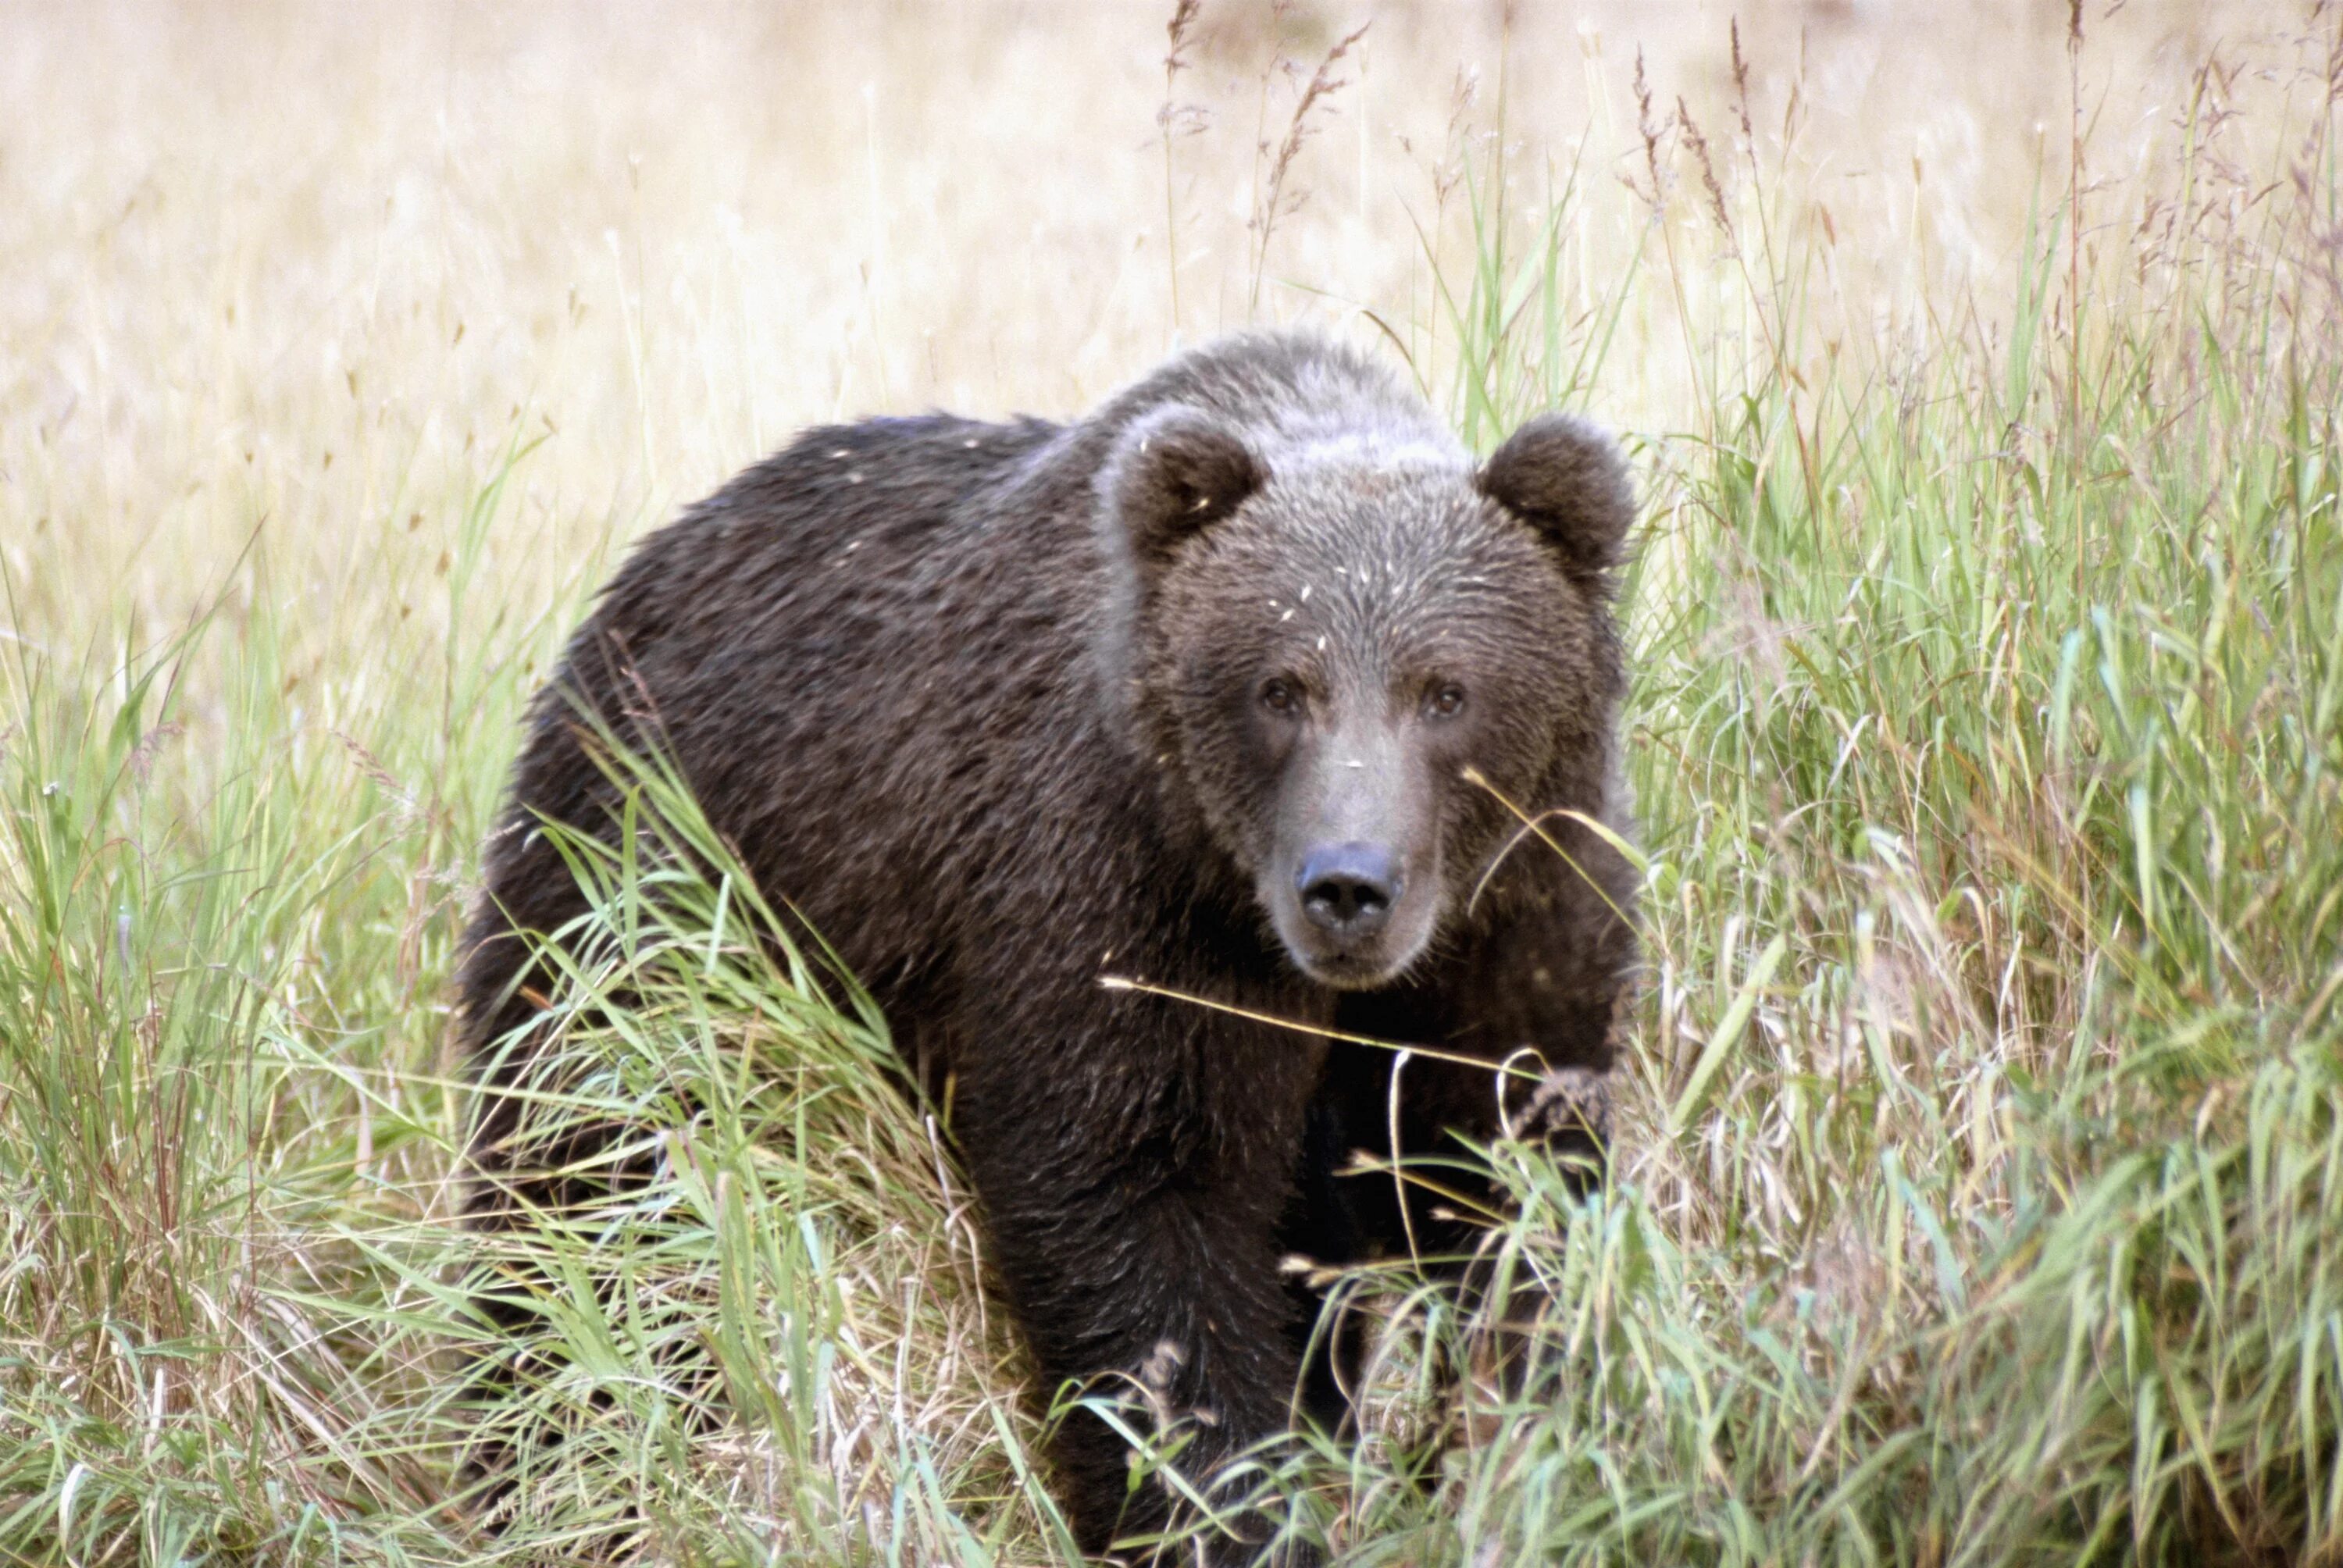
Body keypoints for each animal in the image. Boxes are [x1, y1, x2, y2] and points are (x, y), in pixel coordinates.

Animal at [452, 328, 1631, 1556]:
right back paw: (546, 1474)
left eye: (1445, 690)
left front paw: (1519, 1454)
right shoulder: (1119, 896)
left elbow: (1512, 1180)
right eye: (1280, 687)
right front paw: (1220, 1516)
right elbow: (1139, 1210)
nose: (1348, 885)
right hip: (648, 895)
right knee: (595, 1193)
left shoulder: (1515, 912)